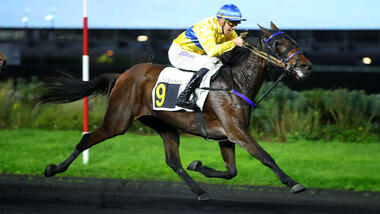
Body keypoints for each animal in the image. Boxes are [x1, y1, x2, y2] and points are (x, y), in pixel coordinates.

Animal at [35, 23, 312, 201]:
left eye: (294, 40)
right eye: (279, 43)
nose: (306, 66)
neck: (235, 83)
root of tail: (123, 75)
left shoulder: (226, 135)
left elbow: (231, 172)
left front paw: (199, 165)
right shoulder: (236, 131)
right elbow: (266, 157)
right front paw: (293, 183)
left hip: (164, 125)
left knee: (173, 161)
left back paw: (200, 191)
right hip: (117, 121)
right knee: (86, 140)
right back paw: (53, 169)